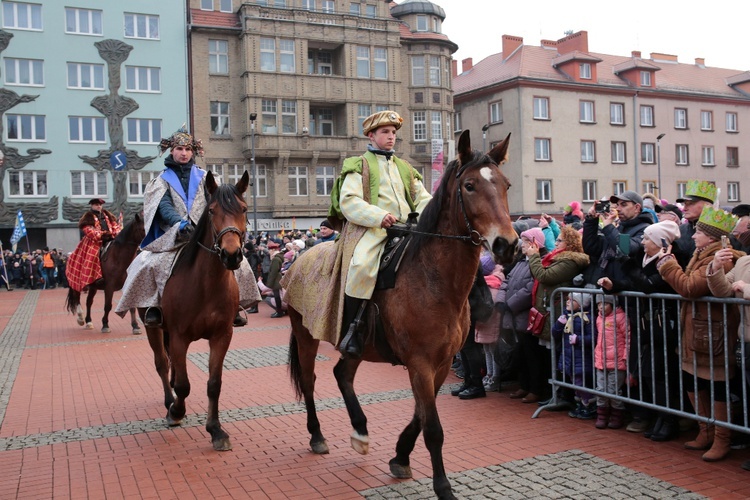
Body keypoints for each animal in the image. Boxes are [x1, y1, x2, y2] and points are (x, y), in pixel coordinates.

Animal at [145, 170, 251, 452]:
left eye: (244, 209)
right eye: (212, 211)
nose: (231, 254)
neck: (206, 285)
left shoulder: (221, 336)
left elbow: (214, 384)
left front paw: (216, 430)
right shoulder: (180, 336)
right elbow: (183, 385)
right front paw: (176, 412)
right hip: (153, 329)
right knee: (162, 363)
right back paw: (168, 400)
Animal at [286, 130, 516, 500]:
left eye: (505, 184)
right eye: (469, 186)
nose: (507, 245)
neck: (434, 280)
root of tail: (299, 261)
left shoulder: (440, 363)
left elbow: (422, 416)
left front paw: (400, 456)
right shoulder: (420, 363)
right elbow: (433, 427)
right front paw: (443, 487)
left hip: (360, 346)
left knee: (342, 374)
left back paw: (360, 431)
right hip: (306, 335)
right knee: (310, 381)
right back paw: (318, 436)